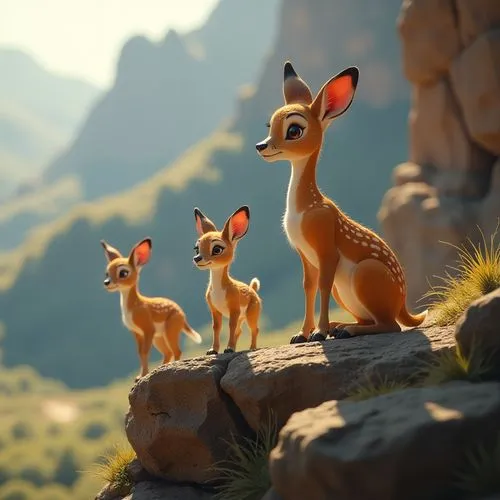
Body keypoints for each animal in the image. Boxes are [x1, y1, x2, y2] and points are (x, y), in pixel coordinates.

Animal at [99, 238, 201, 378]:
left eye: (123, 272)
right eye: (107, 273)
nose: (107, 283)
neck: (134, 307)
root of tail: (182, 314)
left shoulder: (148, 329)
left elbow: (144, 352)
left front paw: (143, 375)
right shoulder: (136, 332)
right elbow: (139, 352)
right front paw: (139, 376)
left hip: (170, 329)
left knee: (176, 350)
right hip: (159, 337)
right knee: (168, 352)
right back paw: (161, 367)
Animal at [192, 205, 262, 354]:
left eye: (217, 249)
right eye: (196, 249)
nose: (197, 258)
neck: (219, 290)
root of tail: (252, 289)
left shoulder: (234, 310)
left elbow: (230, 326)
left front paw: (228, 348)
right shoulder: (215, 310)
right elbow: (216, 328)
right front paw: (213, 350)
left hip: (250, 315)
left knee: (254, 329)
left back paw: (252, 348)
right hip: (242, 317)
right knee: (239, 331)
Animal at [258, 60, 426, 344]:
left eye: (294, 130)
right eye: (269, 125)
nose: (261, 146)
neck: (304, 209)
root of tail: (404, 306)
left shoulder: (326, 246)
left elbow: (322, 285)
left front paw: (319, 332)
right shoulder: (304, 253)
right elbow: (309, 286)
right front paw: (301, 334)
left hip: (366, 274)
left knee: (390, 325)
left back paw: (345, 329)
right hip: (347, 291)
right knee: (372, 320)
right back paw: (341, 325)